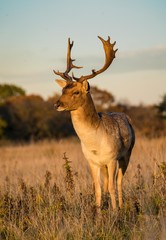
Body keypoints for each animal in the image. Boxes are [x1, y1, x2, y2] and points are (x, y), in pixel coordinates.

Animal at [53, 35, 135, 210]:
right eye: (62, 90)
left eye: (76, 92)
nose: (57, 104)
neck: (95, 144)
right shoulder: (92, 161)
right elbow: (97, 187)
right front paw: (98, 211)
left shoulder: (112, 158)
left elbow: (112, 186)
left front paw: (115, 211)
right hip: (105, 165)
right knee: (106, 182)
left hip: (127, 154)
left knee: (119, 182)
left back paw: (122, 206)